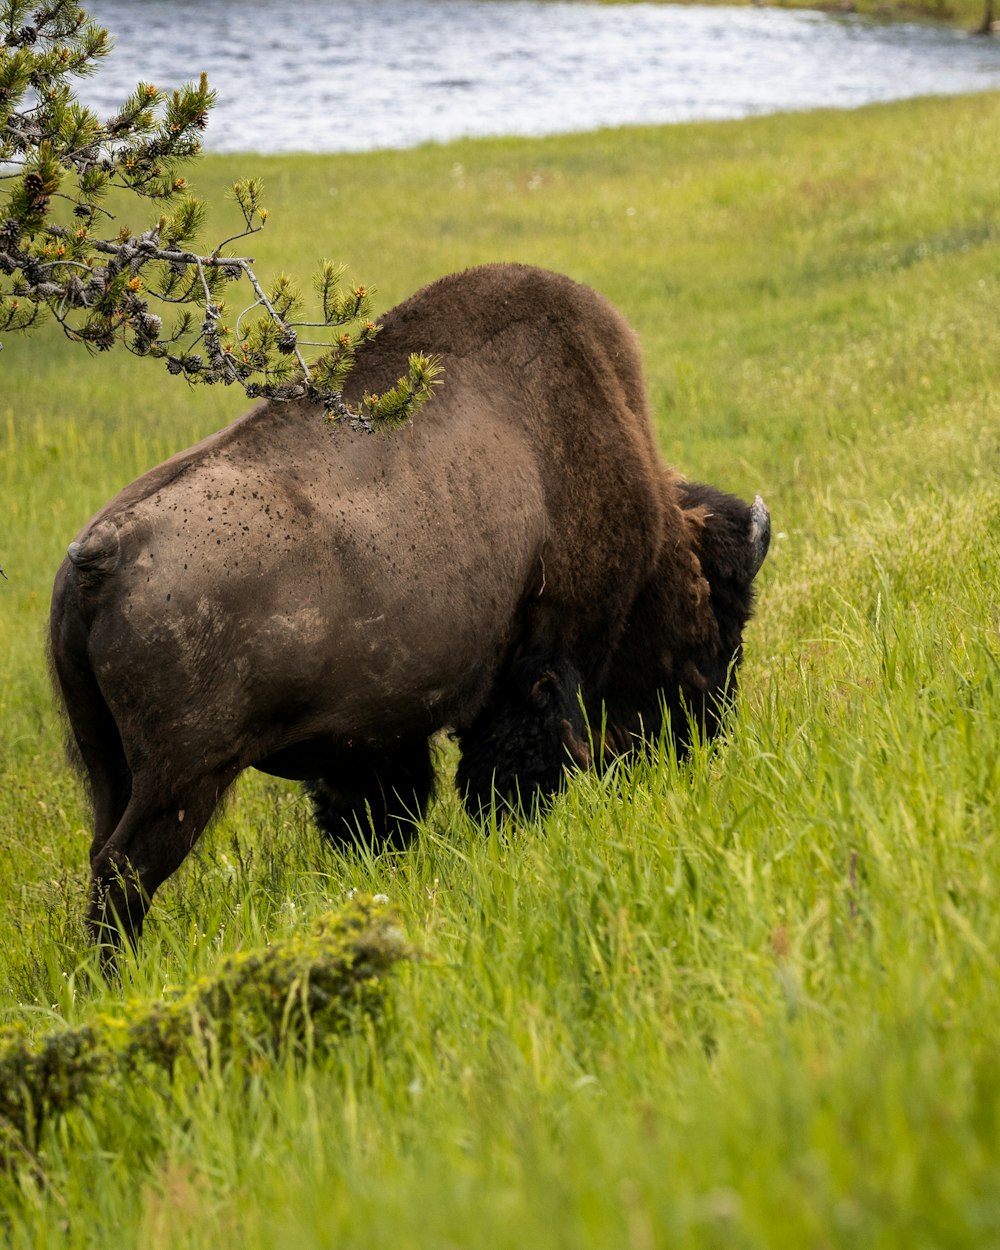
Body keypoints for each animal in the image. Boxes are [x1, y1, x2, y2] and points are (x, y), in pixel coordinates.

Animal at [48, 261, 775, 945]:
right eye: (719, 616)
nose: (707, 735)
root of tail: (103, 553)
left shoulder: (372, 738)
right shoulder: (540, 665)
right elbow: (508, 776)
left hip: (109, 769)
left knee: (102, 854)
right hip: (184, 780)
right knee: (125, 871)